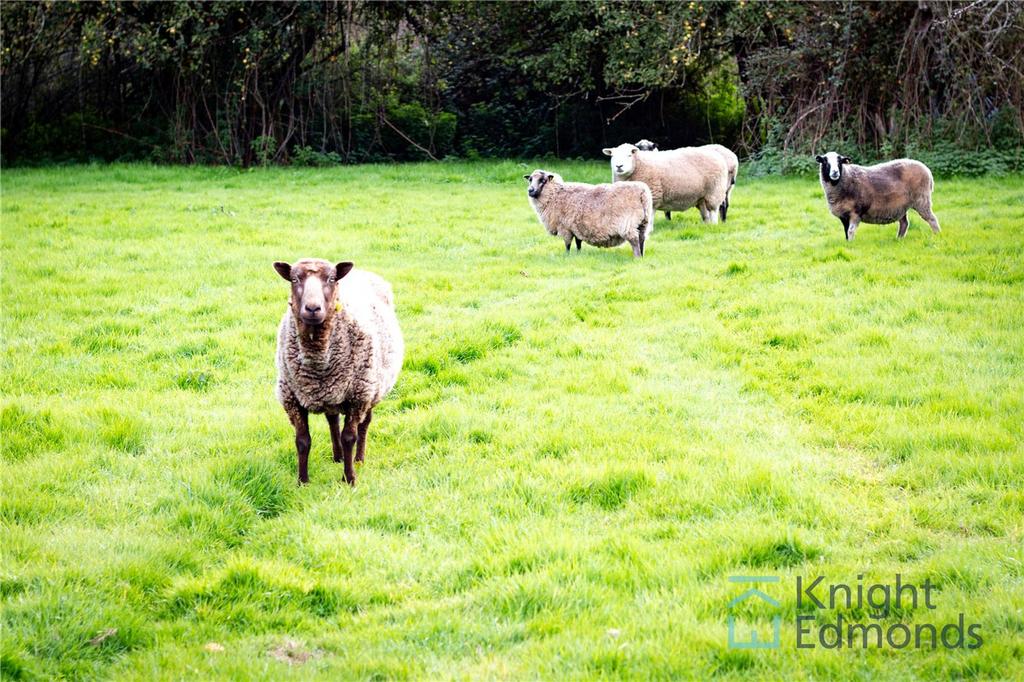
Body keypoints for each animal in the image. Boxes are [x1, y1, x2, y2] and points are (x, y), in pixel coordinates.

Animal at [273, 258, 404, 486]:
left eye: (331, 279)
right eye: (294, 279)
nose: (313, 308)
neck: (318, 361)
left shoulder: (358, 397)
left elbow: (349, 437)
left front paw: (349, 478)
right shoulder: (291, 399)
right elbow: (302, 441)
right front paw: (302, 481)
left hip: (372, 387)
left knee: (364, 424)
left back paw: (358, 459)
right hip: (333, 395)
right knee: (332, 420)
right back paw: (337, 456)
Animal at [524, 169, 653, 257]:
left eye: (542, 180)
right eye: (530, 179)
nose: (530, 190)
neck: (554, 194)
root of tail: (643, 193)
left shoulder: (565, 227)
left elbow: (567, 244)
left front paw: (567, 256)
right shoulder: (576, 227)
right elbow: (578, 243)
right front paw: (578, 254)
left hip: (627, 223)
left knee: (635, 240)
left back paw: (637, 257)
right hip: (644, 222)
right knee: (641, 239)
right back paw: (642, 256)